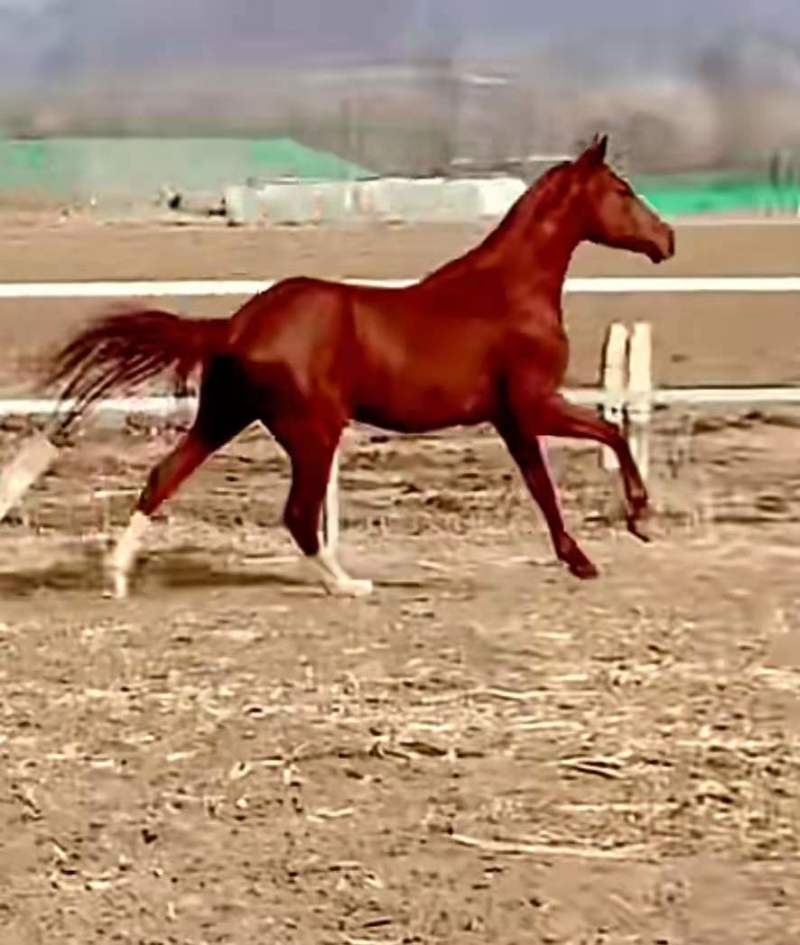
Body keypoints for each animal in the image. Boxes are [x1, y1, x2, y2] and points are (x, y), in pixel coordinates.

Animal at [41, 133, 674, 599]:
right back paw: (349, 585)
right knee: (298, 513)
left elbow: (543, 487)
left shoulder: (509, 419)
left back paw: (117, 578)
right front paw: (640, 520)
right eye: (622, 189)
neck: (508, 293)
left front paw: (581, 559)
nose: (666, 239)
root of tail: (236, 325)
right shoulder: (535, 405)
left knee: (162, 478)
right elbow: (612, 435)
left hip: (224, 417)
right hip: (314, 431)